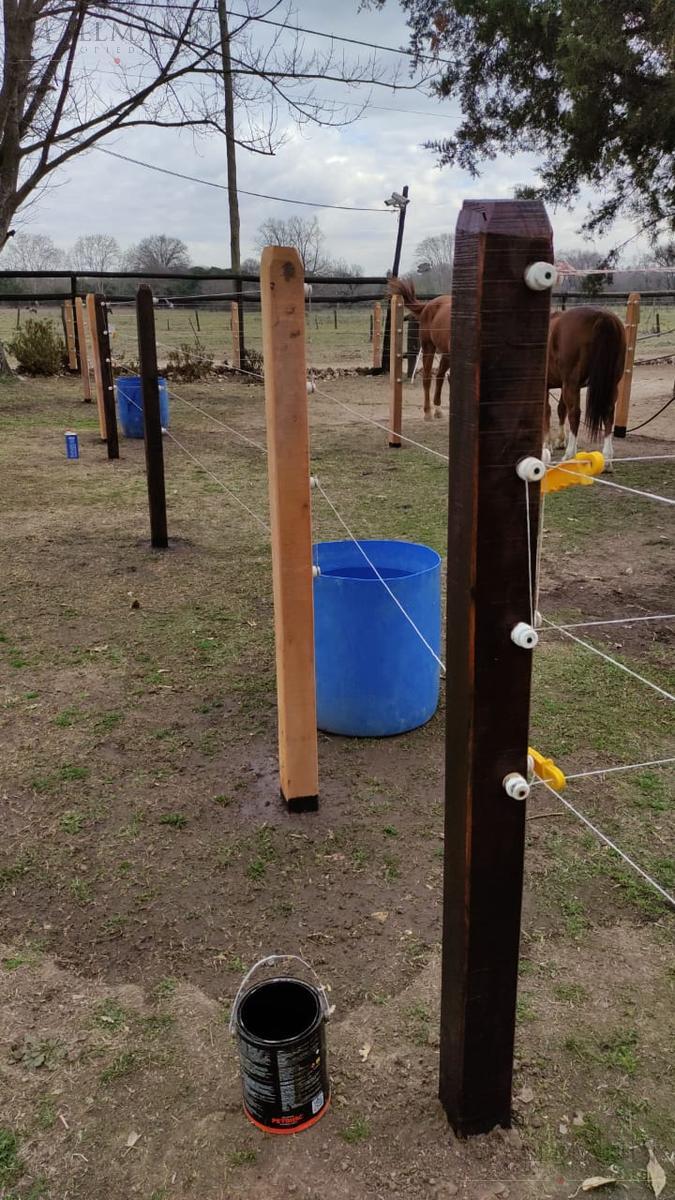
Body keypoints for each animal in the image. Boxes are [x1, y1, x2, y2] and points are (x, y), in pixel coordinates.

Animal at [386, 277, 449, 422]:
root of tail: (428, 305)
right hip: (428, 347)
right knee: (427, 378)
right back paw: (428, 413)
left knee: (440, 376)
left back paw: (438, 410)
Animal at [542, 307, 624, 470]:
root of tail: (602, 316)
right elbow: (561, 409)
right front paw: (560, 440)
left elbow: (548, 411)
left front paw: (547, 444)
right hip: (611, 385)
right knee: (608, 413)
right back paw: (607, 459)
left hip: (571, 383)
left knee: (575, 414)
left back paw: (569, 455)